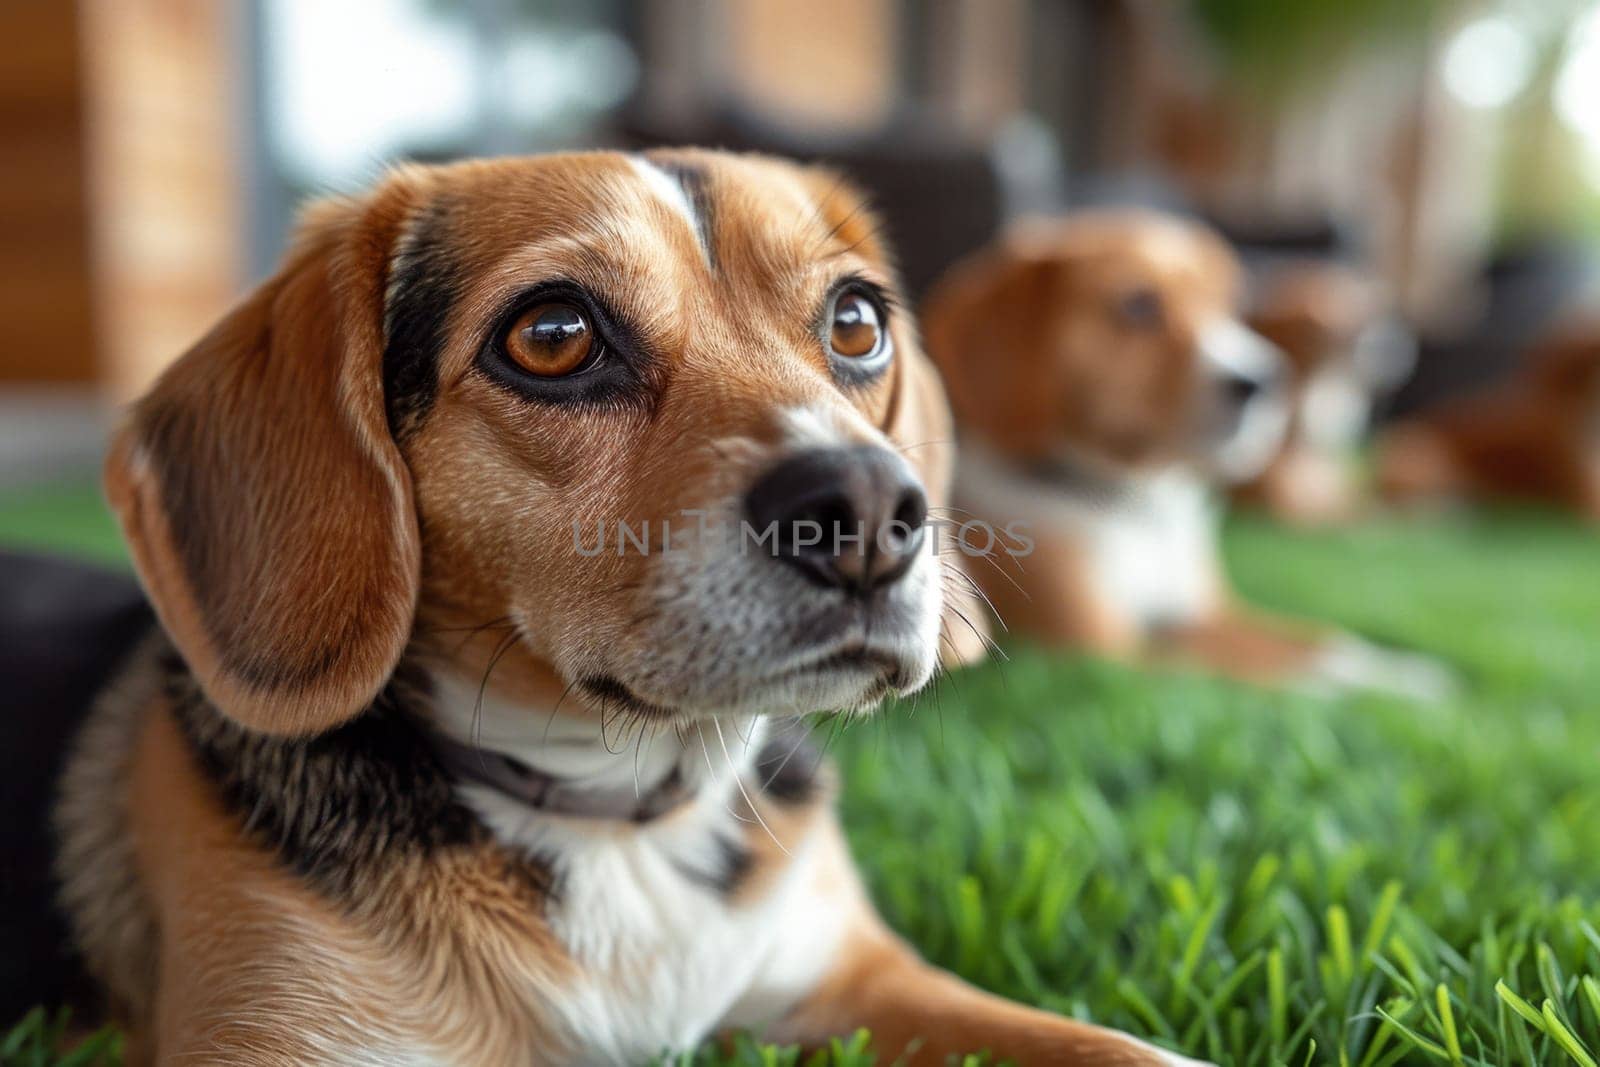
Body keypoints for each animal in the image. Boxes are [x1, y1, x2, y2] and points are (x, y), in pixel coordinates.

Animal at [46, 151, 1203, 1067]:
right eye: (553, 334)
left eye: (856, 321)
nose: (873, 511)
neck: (621, 808)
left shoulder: (854, 981)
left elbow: (1116, 1047)